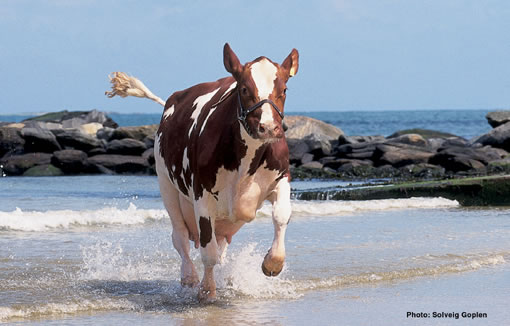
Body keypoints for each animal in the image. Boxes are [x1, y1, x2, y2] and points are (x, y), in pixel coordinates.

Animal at [106, 43, 298, 300]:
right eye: (244, 88)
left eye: (284, 89)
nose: (268, 127)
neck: (246, 162)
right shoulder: (202, 194)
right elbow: (208, 252)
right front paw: (207, 290)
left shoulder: (280, 178)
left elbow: (282, 215)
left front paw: (272, 263)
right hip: (166, 185)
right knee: (180, 238)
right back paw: (189, 276)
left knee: (220, 243)